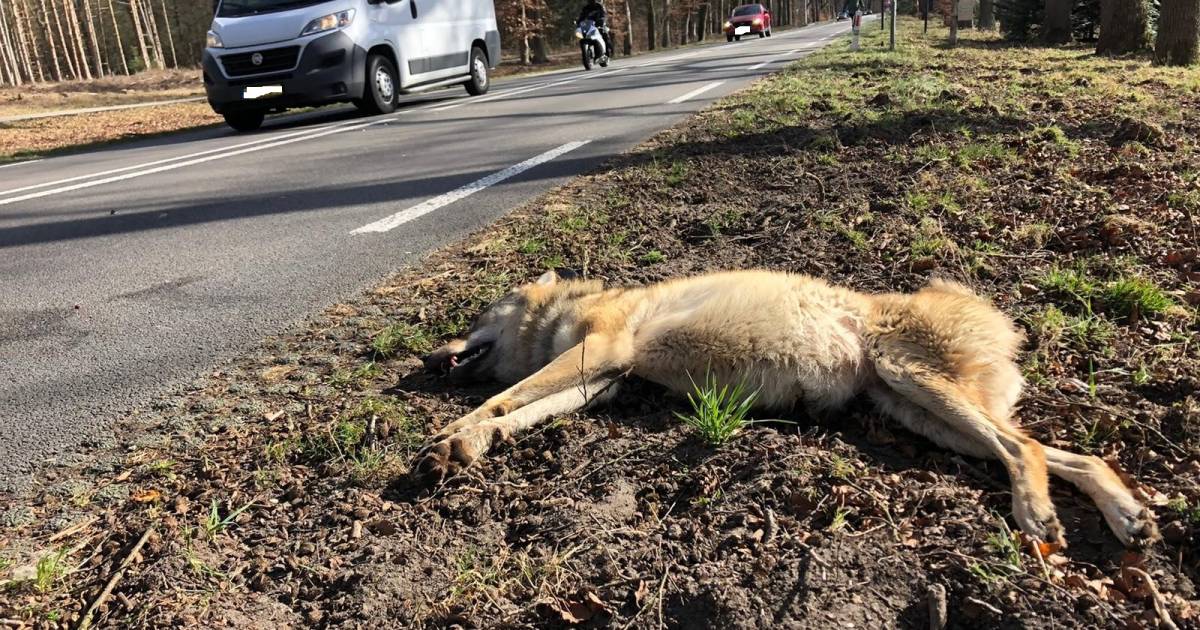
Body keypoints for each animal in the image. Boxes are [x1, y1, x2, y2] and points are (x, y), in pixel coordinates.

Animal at [416, 269, 1158, 548]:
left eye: (473, 318)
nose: (425, 357)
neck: (568, 314)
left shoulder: (599, 354)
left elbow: (499, 396)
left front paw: (452, 432)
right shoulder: (600, 380)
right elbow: (514, 412)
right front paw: (470, 446)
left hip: (917, 389)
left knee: (1025, 449)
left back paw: (1038, 518)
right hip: (926, 419)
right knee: (1070, 456)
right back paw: (1129, 518)